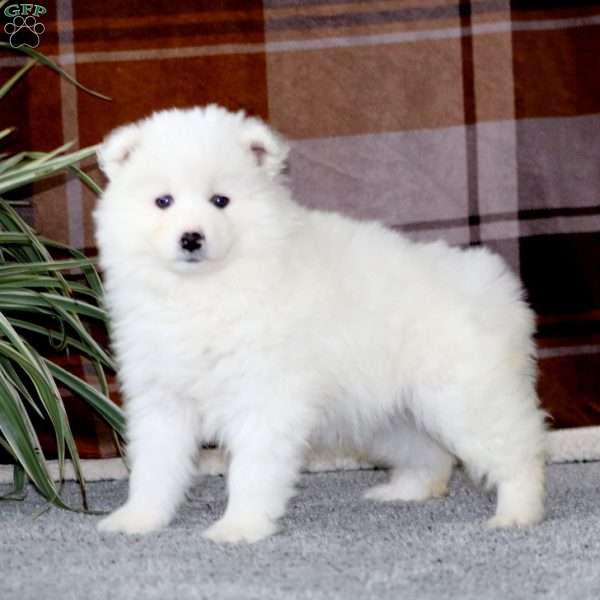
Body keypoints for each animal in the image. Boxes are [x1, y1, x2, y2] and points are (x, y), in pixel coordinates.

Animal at [92, 104, 544, 544]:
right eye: (163, 201)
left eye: (220, 200)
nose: (191, 238)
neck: (205, 289)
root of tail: (491, 285)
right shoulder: (160, 395)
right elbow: (154, 467)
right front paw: (138, 519)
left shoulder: (264, 395)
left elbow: (251, 470)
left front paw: (240, 527)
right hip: (390, 414)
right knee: (431, 455)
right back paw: (404, 491)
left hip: (466, 398)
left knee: (518, 450)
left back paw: (517, 513)